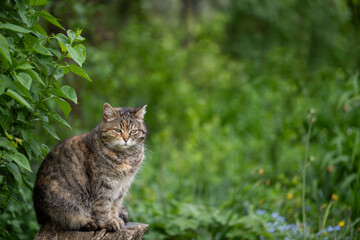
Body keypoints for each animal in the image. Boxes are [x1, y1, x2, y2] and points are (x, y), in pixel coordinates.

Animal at [32, 102, 147, 231]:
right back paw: (88, 222)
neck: (126, 156)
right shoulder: (104, 185)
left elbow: (115, 205)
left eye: (133, 131)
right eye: (117, 130)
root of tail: (38, 216)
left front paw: (115, 218)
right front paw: (108, 222)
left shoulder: (122, 186)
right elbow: (103, 206)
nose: (126, 139)